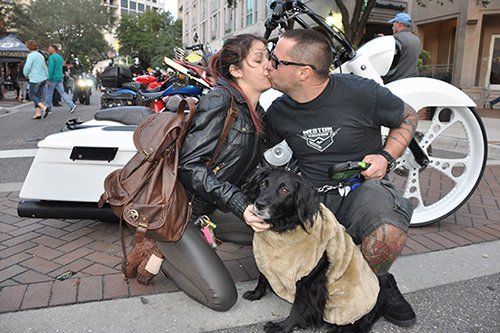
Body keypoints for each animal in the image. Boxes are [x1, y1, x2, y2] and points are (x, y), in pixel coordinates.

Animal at [242, 169, 386, 332]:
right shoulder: (265, 257)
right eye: (263, 183)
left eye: (285, 190)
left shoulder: (308, 280)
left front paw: (284, 326)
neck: (286, 227)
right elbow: (262, 277)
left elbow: (298, 307)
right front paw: (256, 294)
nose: (259, 204)